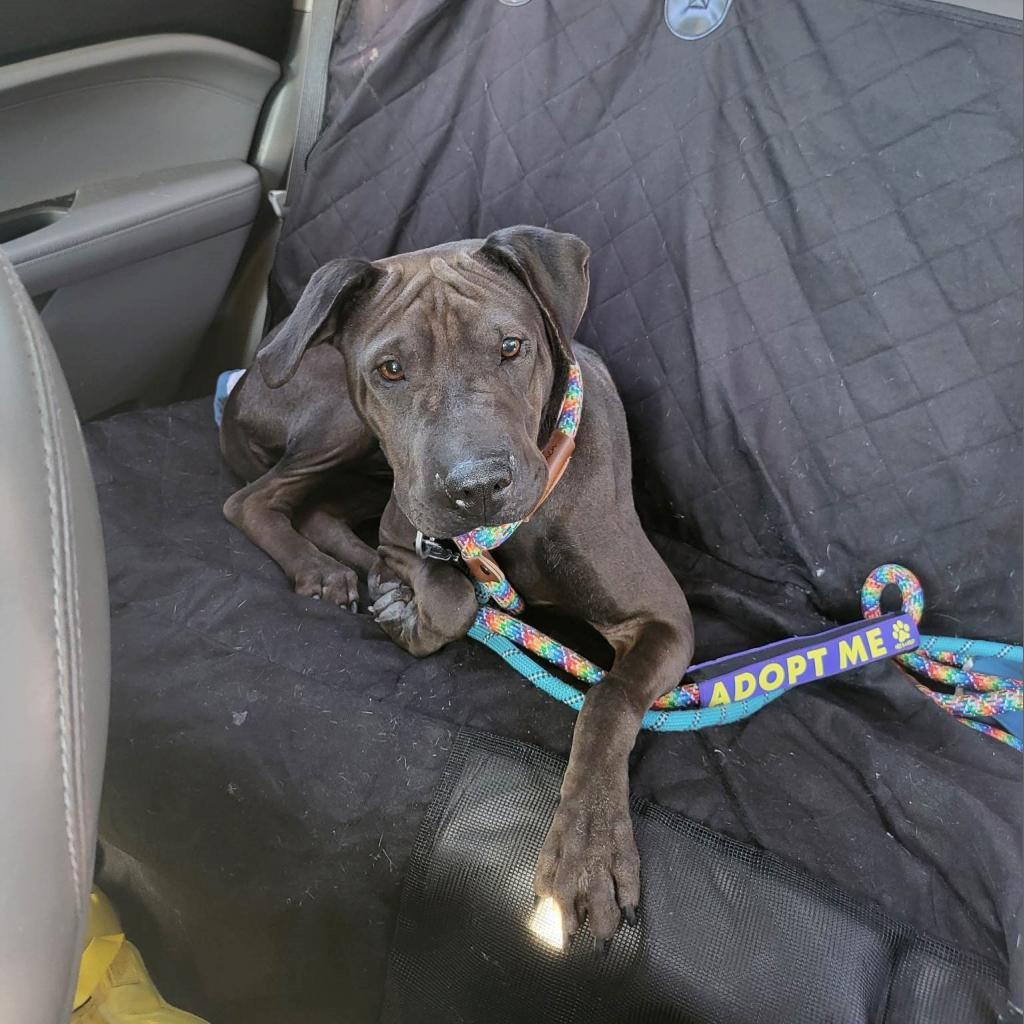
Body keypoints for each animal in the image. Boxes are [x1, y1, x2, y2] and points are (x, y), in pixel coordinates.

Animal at [219, 226, 692, 942]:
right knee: (253, 500)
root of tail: (247, 376)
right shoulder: (408, 523)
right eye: (390, 368)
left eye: (512, 347)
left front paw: (590, 848)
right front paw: (411, 607)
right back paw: (328, 570)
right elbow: (455, 595)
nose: (476, 486)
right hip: (349, 428)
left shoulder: (665, 618)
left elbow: (610, 699)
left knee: (310, 507)